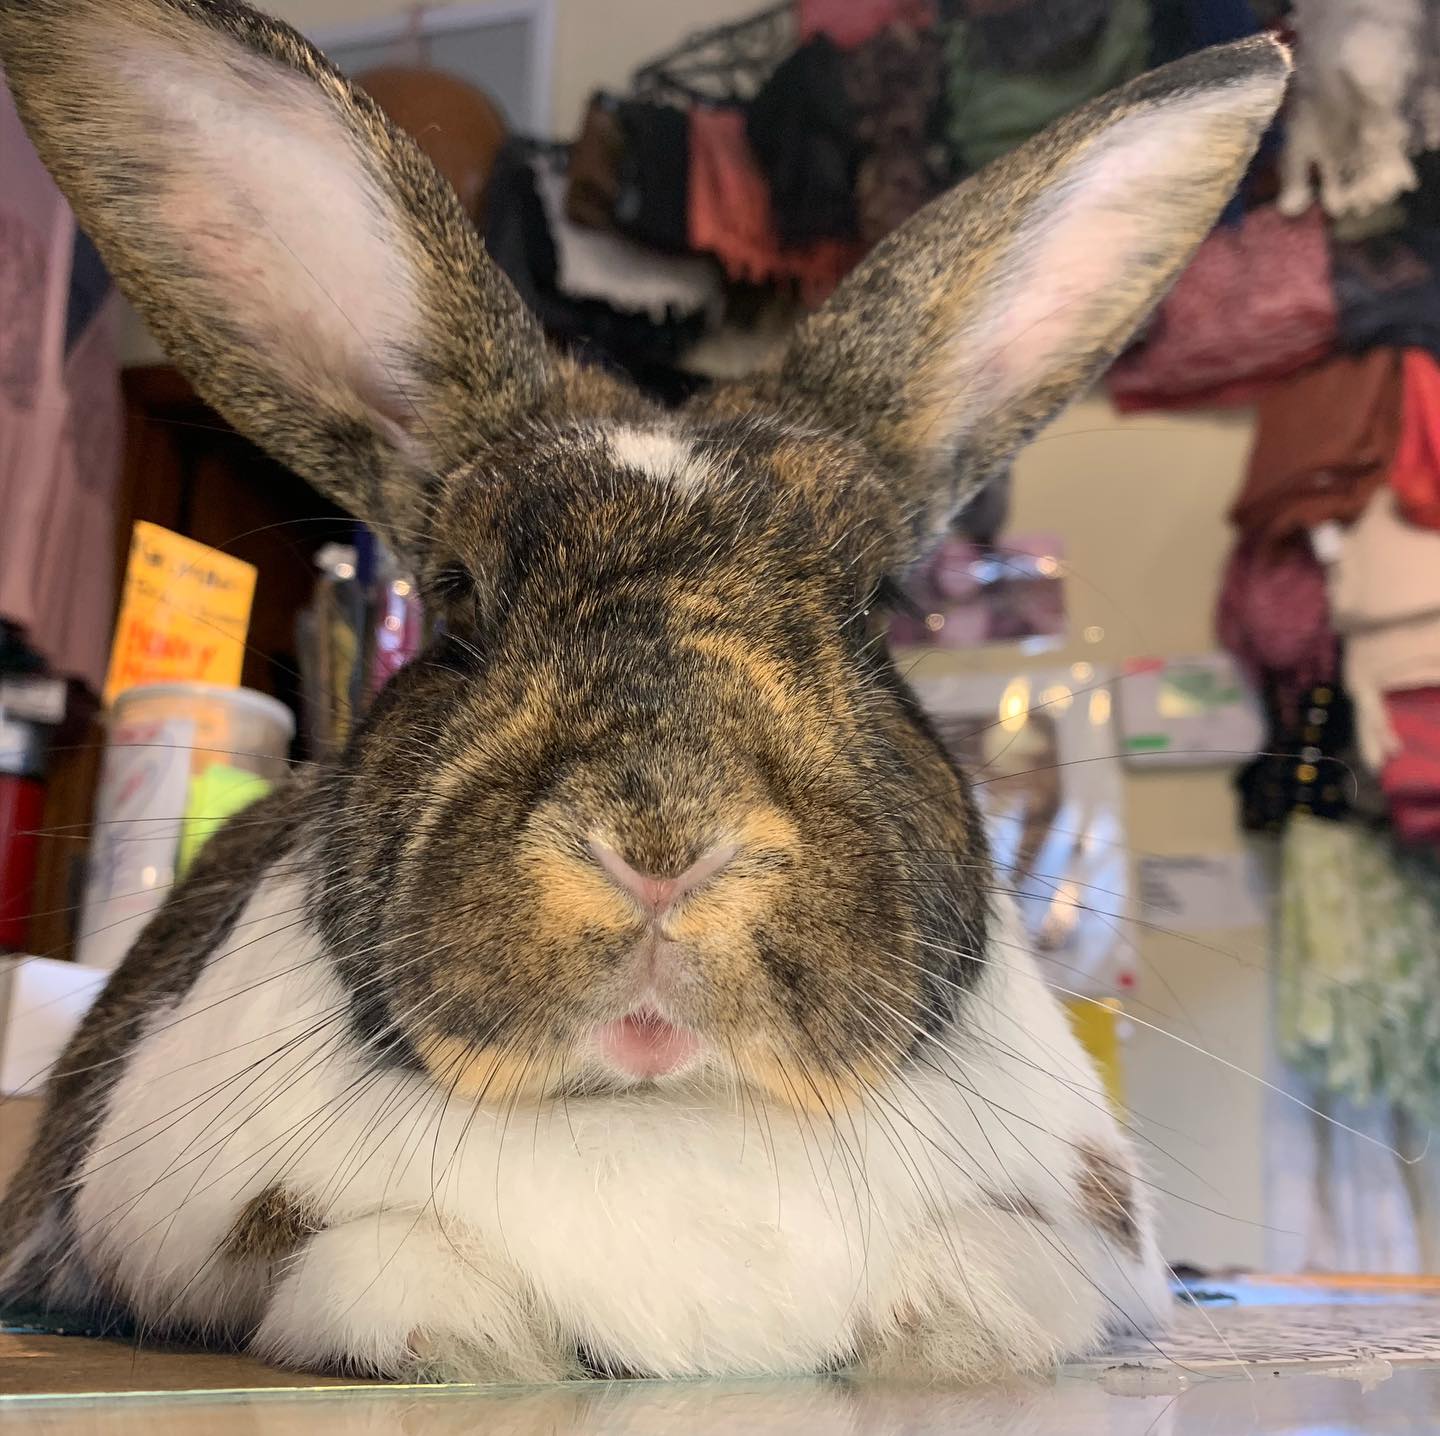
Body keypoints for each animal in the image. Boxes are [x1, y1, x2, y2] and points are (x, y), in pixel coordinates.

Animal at [0, 0, 1288, 1386]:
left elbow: (997, 1280)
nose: (663, 847)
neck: (668, 1111)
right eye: (457, 604)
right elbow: (360, 1267)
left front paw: (952, 1335)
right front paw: (468, 1336)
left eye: (875, 610)